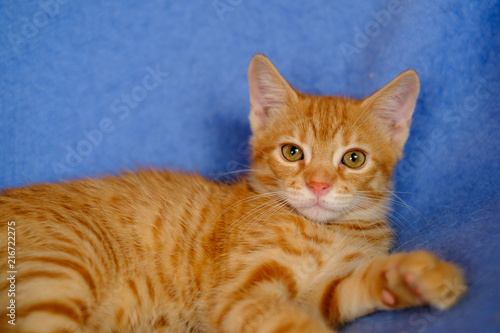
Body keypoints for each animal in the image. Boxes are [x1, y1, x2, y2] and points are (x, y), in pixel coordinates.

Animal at [1, 55, 466, 332]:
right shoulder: (238, 297)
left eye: (353, 159)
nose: (318, 185)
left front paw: (413, 275)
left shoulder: (325, 293)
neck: (327, 232)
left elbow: (354, 285)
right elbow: (294, 325)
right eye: (292, 152)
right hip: (65, 267)